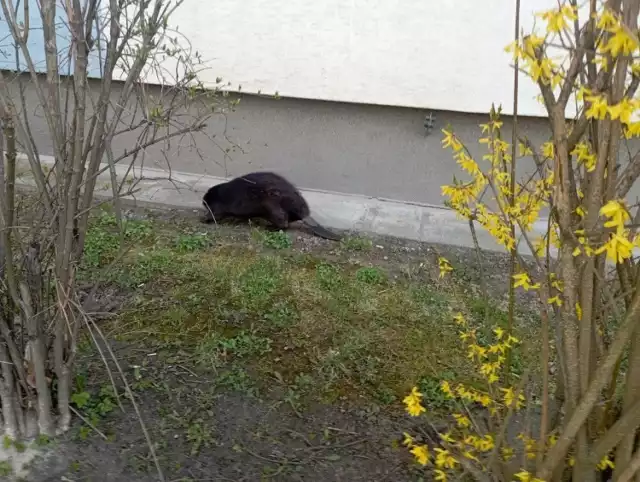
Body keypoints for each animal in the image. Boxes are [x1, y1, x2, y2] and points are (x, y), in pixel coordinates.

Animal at [201, 172, 342, 241]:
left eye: (206, 204)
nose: (203, 202)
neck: (221, 194)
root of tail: (305, 215)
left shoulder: (220, 205)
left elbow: (216, 214)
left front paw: (205, 219)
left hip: (272, 206)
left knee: (284, 224)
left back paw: (270, 228)